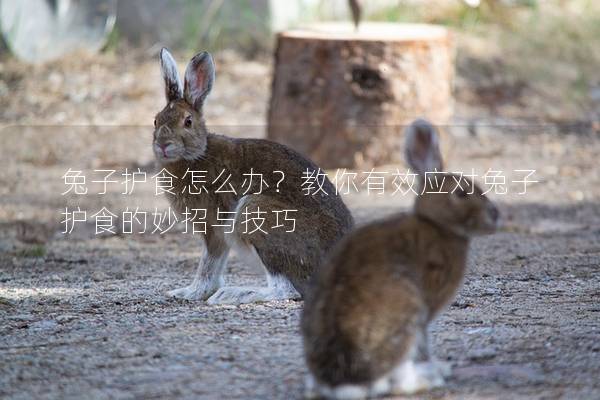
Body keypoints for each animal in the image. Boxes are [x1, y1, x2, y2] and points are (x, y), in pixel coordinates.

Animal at [154, 48, 356, 304]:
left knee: (285, 290)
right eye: (156, 120)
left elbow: (208, 264)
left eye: (188, 122)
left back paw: (234, 294)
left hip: (255, 214)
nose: (163, 145)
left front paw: (192, 293)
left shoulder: (213, 226)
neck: (198, 155)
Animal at [302, 119, 500, 400]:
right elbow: (424, 344)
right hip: (406, 313)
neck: (437, 225)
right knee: (397, 379)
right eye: (462, 193)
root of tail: (343, 383)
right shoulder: (427, 306)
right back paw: (430, 377)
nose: (495, 215)